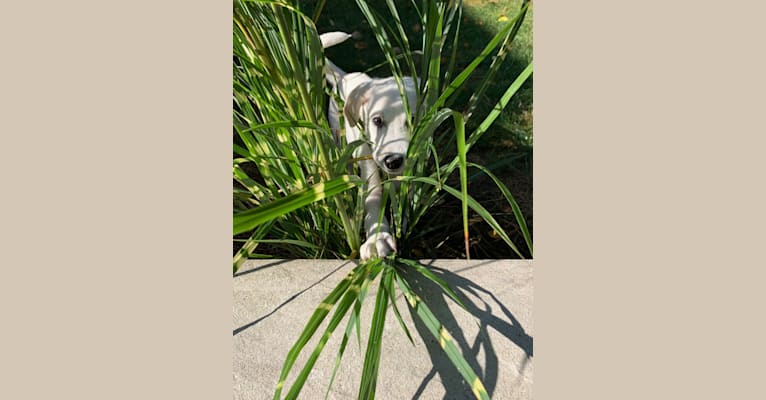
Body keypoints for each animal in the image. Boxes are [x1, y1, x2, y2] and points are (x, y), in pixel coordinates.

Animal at [320, 32, 420, 260]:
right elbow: (373, 200)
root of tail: (344, 76)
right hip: (339, 135)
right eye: (377, 121)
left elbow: (407, 195)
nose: (392, 161)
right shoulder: (368, 162)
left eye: (411, 120)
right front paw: (377, 239)